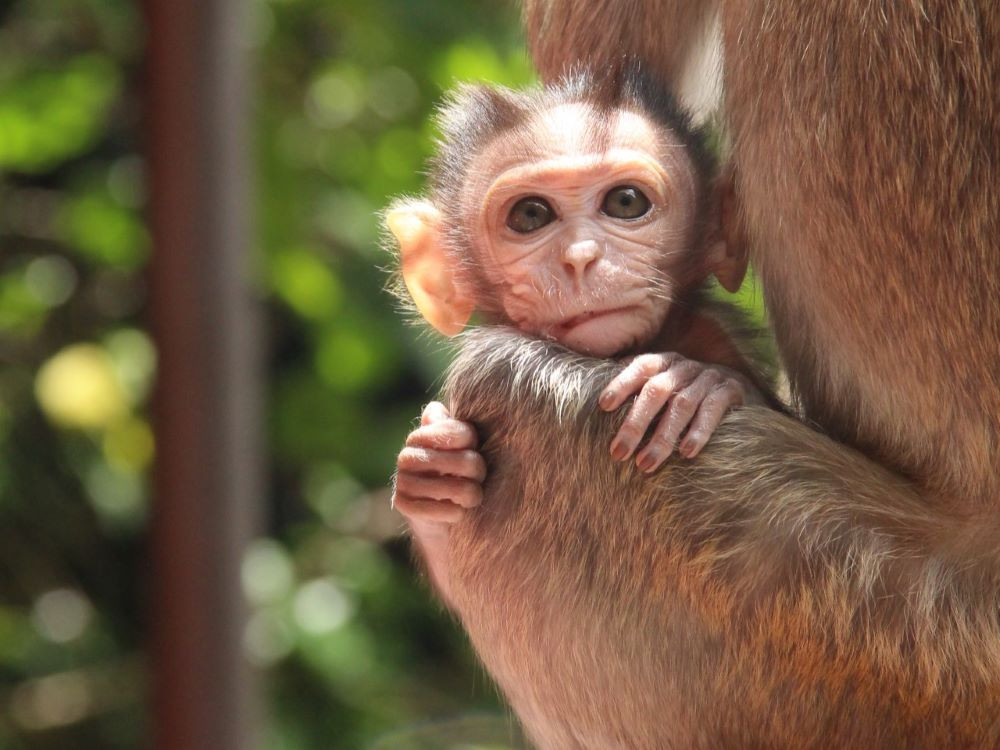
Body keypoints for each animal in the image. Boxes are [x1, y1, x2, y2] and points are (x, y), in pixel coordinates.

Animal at [384, 69, 772, 540]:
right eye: (531, 215)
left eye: (625, 201)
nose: (580, 257)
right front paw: (431, 474)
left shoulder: (712, 333)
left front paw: (693, 383)